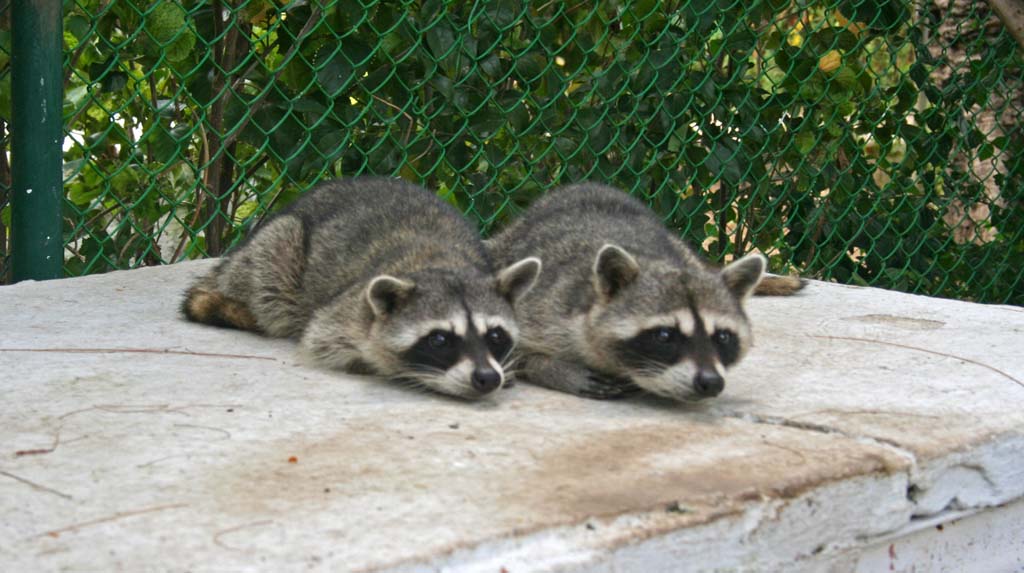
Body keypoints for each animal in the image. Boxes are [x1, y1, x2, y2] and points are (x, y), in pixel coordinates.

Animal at [182, 177, 541, 400]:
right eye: (439, 340)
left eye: (495, 335)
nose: (487, 377)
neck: (444, 263)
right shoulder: (346, 311)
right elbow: (326, 341)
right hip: (273, 250)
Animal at [486, 182, 802, 402]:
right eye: (664, 335)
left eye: (723, 337)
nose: (711, 382)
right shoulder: (545, 303)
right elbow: (518, 348)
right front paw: (548, 367)